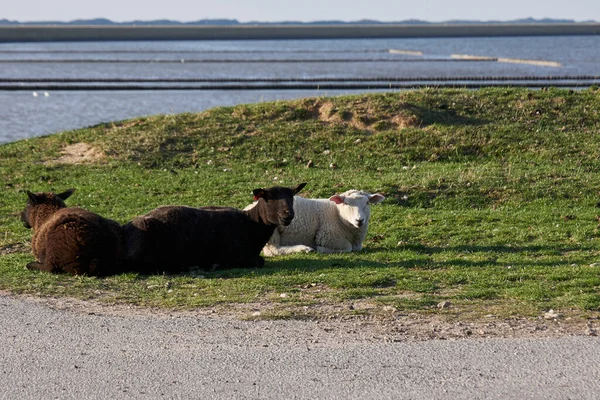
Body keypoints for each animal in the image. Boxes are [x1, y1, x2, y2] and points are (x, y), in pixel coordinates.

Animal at [124, 183, 308, 274]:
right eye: (269, 198)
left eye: (291, 197)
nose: (288, 214)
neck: (251, 224)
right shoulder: (241, 257)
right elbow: (260, 261)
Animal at [244, 190, 384, 256]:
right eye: (346, 203)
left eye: (367, 203)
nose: (359, 220)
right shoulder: (328, 237)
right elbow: (348, 248)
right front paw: (320, 249)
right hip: (272, 232)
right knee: (274, 250)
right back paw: (304, 249)